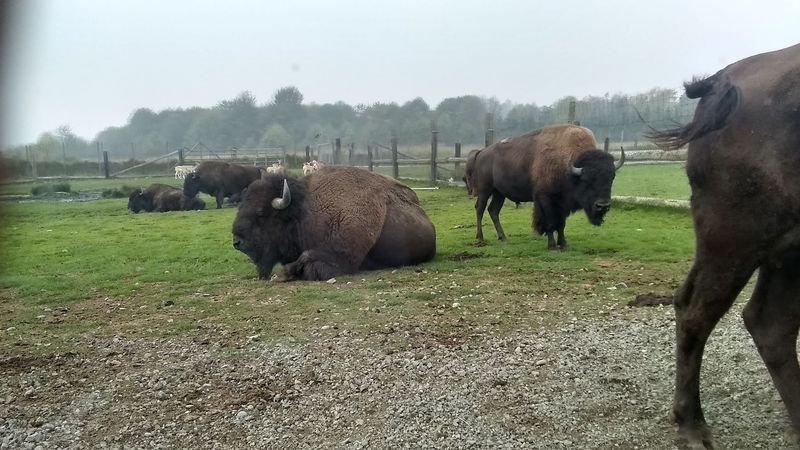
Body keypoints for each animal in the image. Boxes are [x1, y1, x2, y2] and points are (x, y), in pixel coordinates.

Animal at [232, 165, 436, 281]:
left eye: (260, 213)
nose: (237, 241)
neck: (302, 211)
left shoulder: (341, 257)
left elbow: (309, 259)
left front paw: (282, 274)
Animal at [465, 124, 624, 250]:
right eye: (586, 180)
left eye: (612, 177)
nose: (603, 206)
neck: (568, 167)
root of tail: (482, 152)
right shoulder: (545, 200)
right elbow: (550, 222)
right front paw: (552, 245)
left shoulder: (562, 205)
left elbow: (561, 224)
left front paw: (563, 244)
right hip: (485, 190)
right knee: (480, 209)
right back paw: (480, 238)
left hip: (499, 193)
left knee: (493, 210)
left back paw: (503, 237)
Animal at [648, 43, 800, 448]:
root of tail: (723, 79)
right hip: (734, 238)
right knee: (696, 311)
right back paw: (693, 427)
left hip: (784, 249)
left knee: (771, 324)